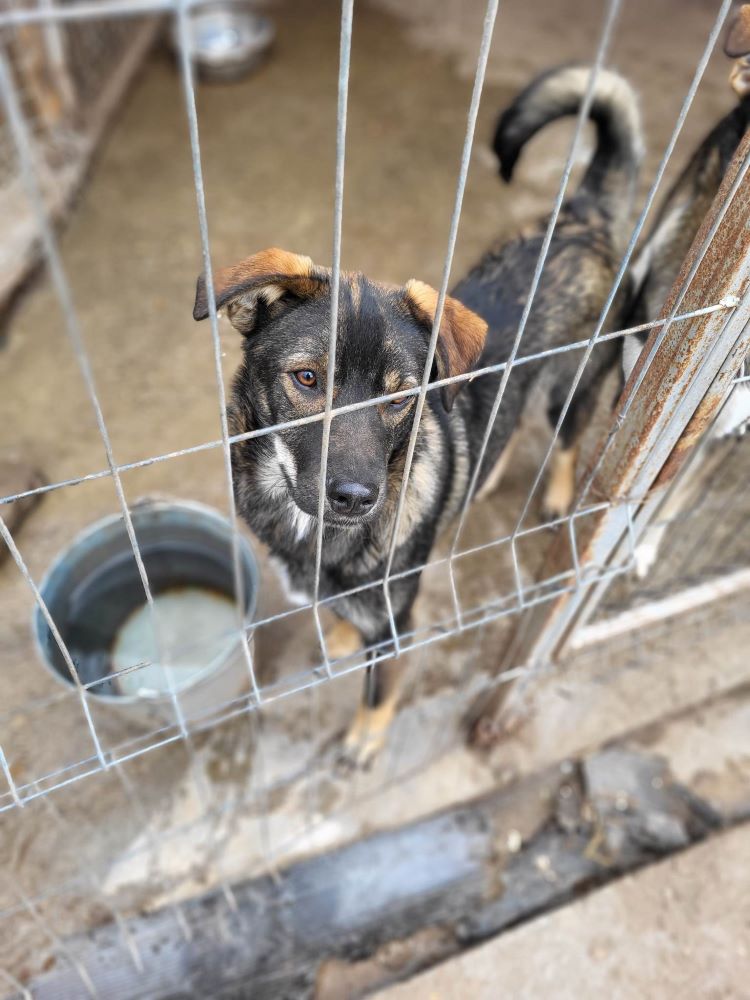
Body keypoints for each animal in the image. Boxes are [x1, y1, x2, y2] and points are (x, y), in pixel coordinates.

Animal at [195, 64, 648, 764]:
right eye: (307, 379)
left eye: (398, 396)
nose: (357, 498)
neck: (309, 527)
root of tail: (582, 219)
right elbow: (341, 618)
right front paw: (342, 635)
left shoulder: (397, 621)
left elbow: (379, 687)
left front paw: (364, 740)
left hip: (573, 384)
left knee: (568, 438)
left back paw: (557, 496)